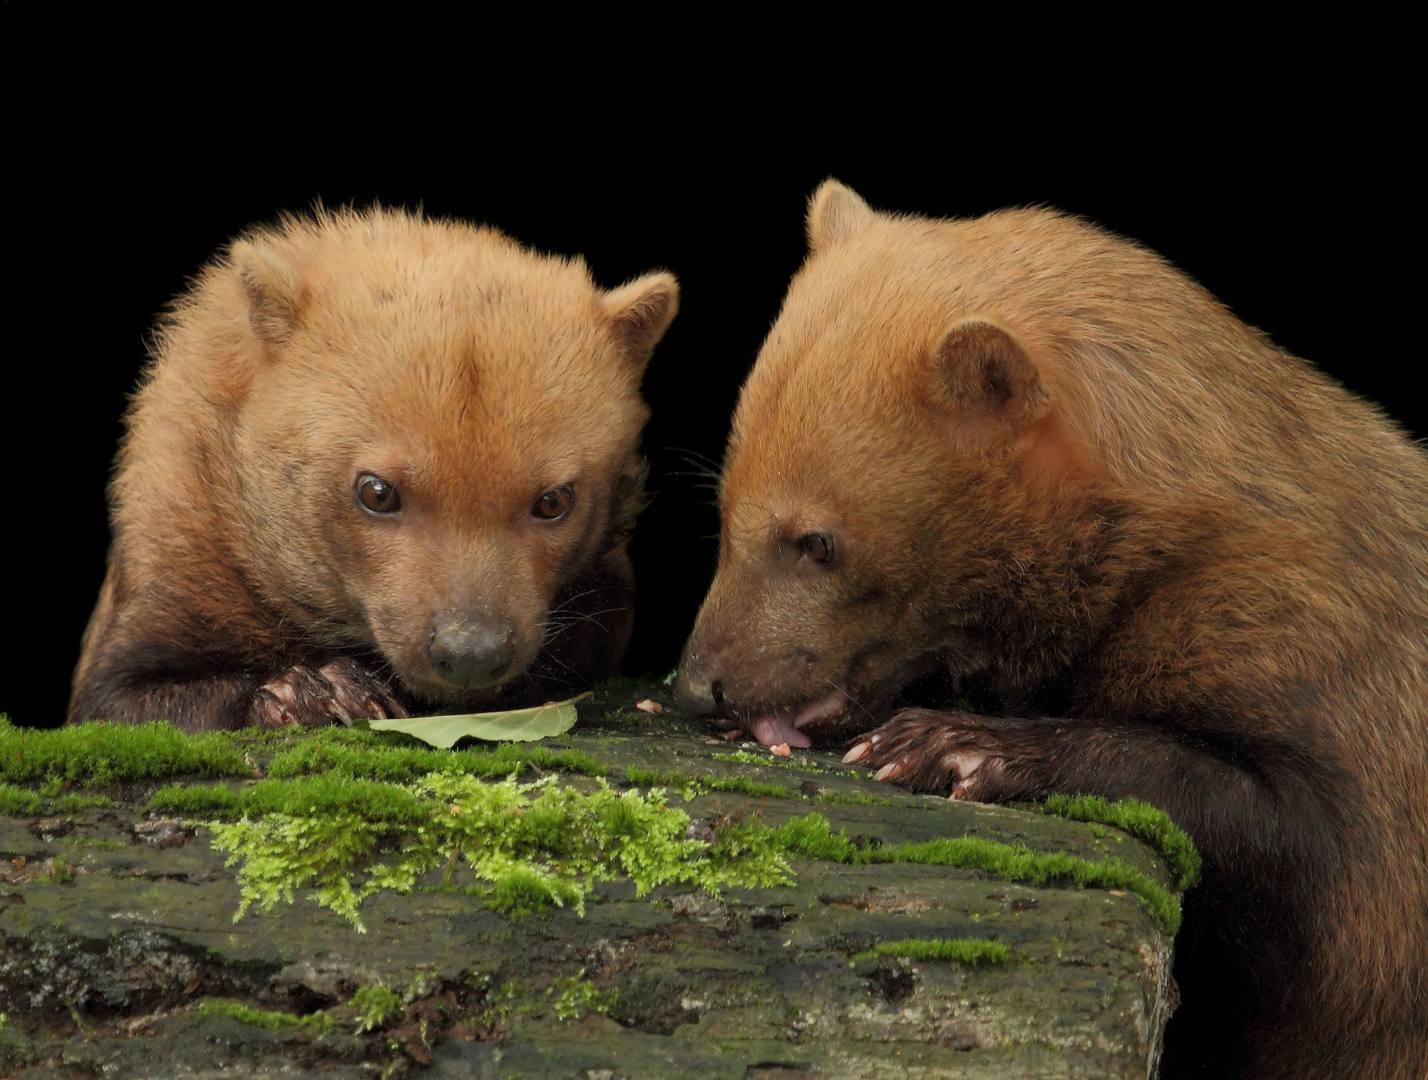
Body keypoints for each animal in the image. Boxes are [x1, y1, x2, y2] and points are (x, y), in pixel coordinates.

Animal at [73, 208, 679, 731]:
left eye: (554, 500)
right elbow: (138, 703)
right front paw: (316, 692)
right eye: (377, 492)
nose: (471, 654)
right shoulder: (154, 595)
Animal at [676, 181, 1428, 1074]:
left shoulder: (1338, 693)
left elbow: (1306, 865)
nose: (696, 686)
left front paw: (953, 746)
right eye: (721, 503)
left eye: (816, 542)